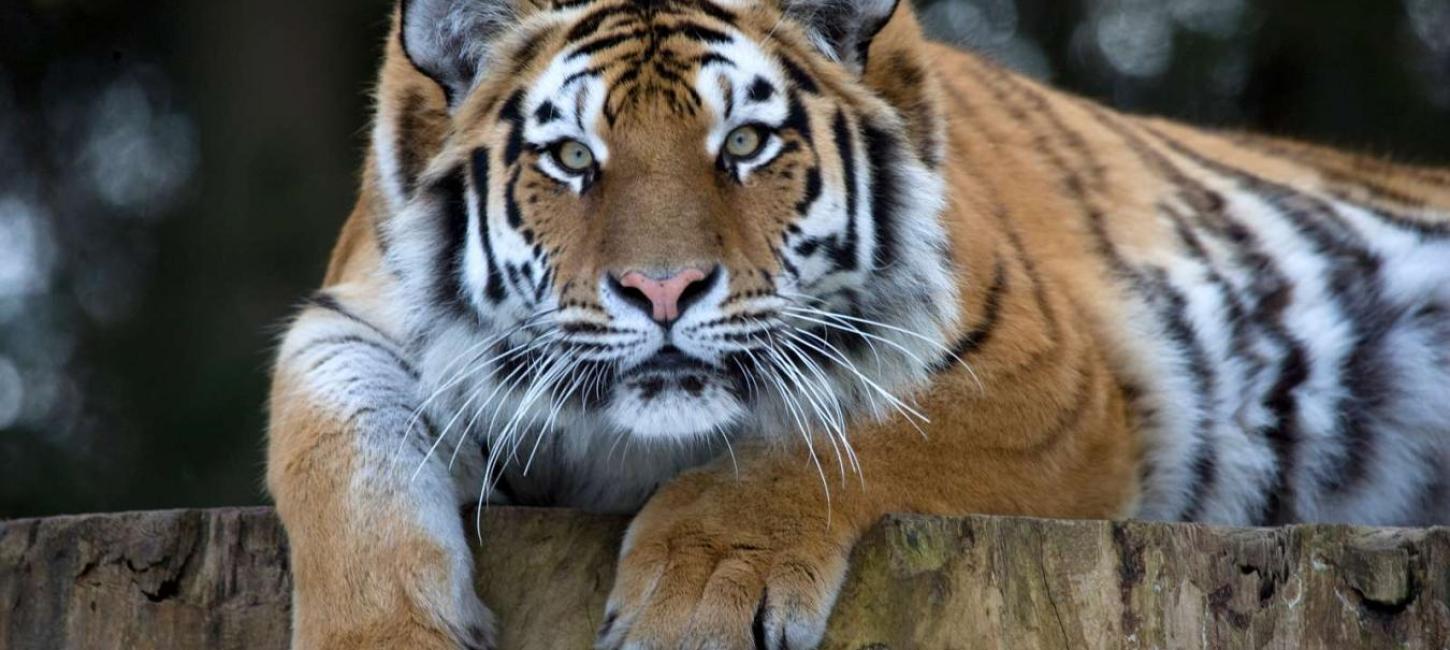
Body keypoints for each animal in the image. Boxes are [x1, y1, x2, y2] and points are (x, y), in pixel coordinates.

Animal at [266, 0, 1450, 644]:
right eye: (570, 157)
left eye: (744, 144)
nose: (662, 291)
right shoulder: (350, 318)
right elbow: (340, 456)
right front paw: (383, 639)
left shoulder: (1045, 378)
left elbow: (832, 439)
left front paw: (697, 596)